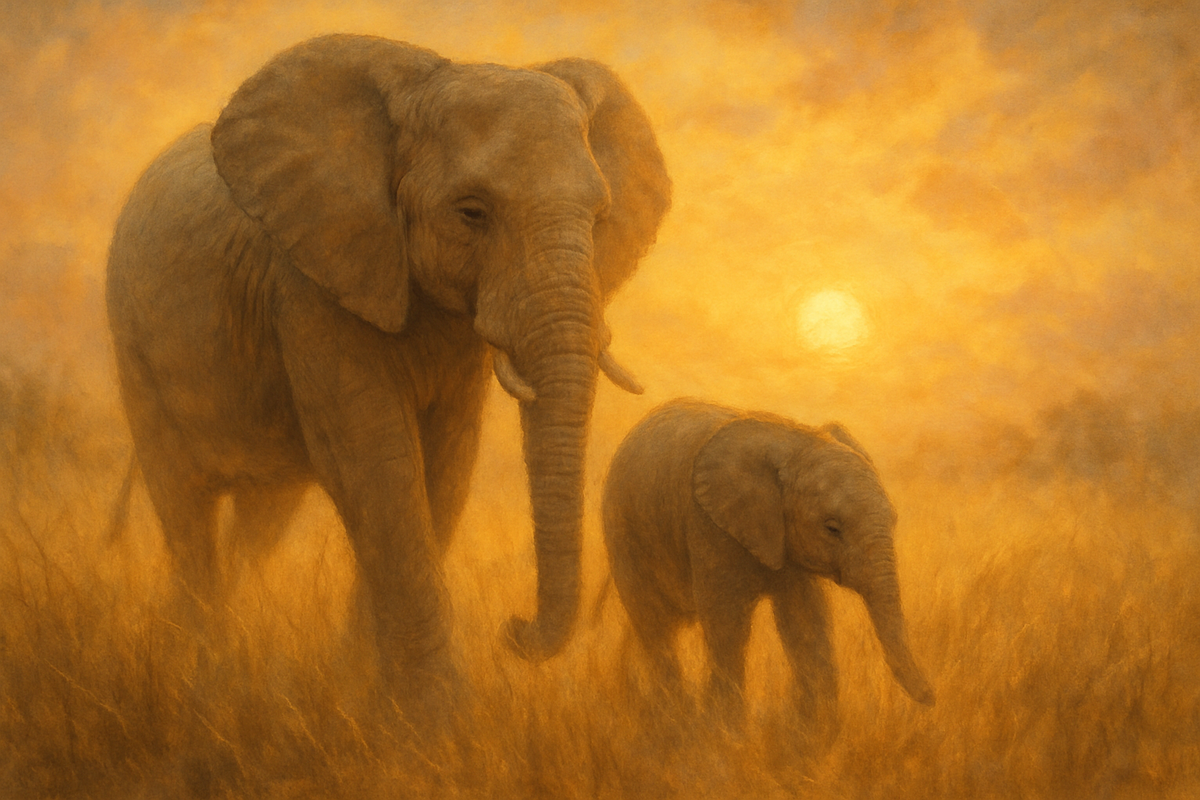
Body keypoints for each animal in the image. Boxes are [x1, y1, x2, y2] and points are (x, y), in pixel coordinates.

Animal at [105, 34, 670, 721]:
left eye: (600, 217)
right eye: (472, 213)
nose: (514, 630)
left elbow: (444, 467)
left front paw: (369, 701)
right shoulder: (312, 277)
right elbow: (376, 462)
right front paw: (436, 720)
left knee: (262, 518)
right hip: (135, 344)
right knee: (184, 507)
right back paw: (196, 674)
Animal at [601, 399, 934, 739]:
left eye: (894, 519)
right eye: (832, 528)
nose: (932, 697)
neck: (795, 441)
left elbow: (805, 619)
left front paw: (816, 732)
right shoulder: (709, 523)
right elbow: (727, 620)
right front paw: (725, 734)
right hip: (622, 530)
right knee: (652, 622)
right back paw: (672, 721)